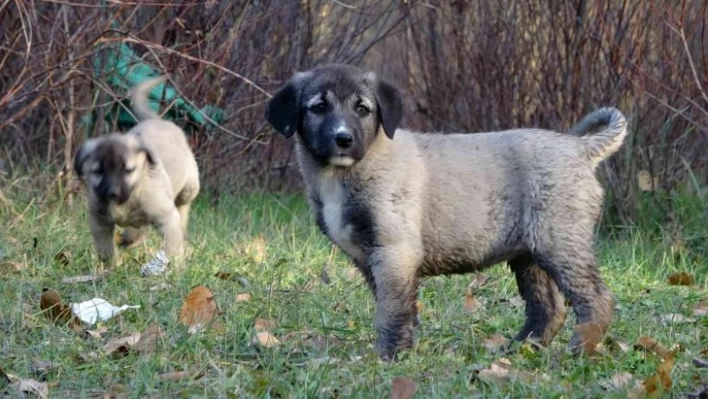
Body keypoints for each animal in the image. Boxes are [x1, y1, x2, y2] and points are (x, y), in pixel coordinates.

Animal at [74, 76, 199, 274]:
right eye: (98, 171)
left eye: (128, 170)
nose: (112, 194)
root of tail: (160, 121)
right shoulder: (99, 221)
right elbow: (105, 249)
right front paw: (109, 269)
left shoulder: (166, 218)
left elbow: (173, 248)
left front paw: (176, 270)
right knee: (137, 230)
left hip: (189, 188)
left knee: (182, 206)